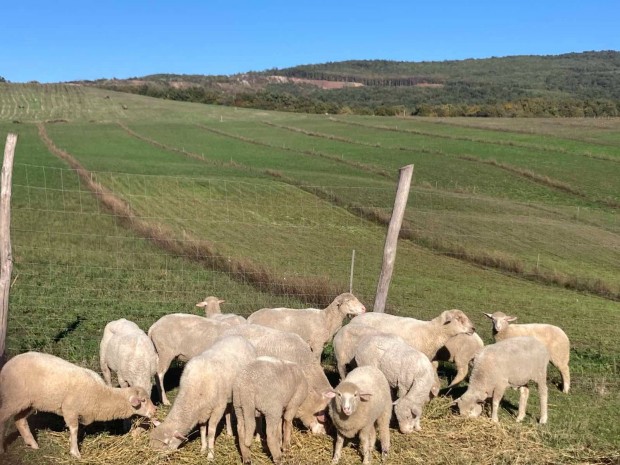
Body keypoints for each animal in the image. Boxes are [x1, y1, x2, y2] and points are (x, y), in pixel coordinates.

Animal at [0, 352, 157, 456]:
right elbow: (74, 429)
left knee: (20, 420)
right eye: (143, 401)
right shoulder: (69, 409)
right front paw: (75, 452)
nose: (155, 410)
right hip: (13, 398)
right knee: (3, 418)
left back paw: (32, 444)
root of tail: (7, 364)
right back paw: (3, 449)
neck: (100, 395)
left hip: (28, 403)